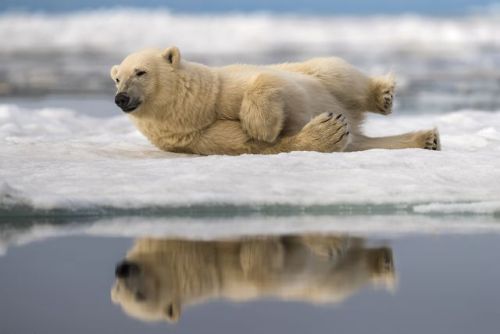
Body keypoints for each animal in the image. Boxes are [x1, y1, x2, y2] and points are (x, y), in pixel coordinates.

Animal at [110, 47, 442, 155]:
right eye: (117, 78)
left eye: (140, 72)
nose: (121, 97)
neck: (195, 109)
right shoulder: (194, 137)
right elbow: (257, 146)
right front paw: (328, 131)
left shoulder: (223, 85)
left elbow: (264, 81)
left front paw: (260, 125)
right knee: (365, 143)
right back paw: (425, 139)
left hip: (315, 75)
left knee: (336, 73)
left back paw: (383, 97)